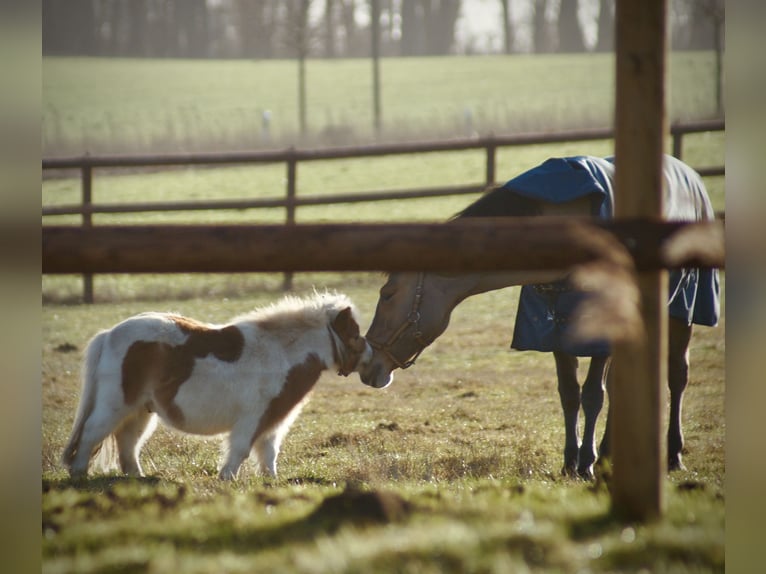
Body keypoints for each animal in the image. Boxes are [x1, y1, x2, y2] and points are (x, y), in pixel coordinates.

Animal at [62, 292, 368, 482]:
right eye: (353, 334)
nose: (370, 358)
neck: (280, 352)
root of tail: (109, 334)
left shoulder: (273, 421)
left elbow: (268, 453)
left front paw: (272, 482)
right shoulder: (253, 418)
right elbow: (241, 449)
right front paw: (227, 479)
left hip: (139, 411)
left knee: (128, 443)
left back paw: (138, 477)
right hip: (116, 405)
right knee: (91, 433)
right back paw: (79, 474)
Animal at [360, 155, 720, 480]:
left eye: (388, 293)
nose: (367, 365)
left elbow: (593, 395)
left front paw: (586, 464)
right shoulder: (554, 330)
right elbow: (569, 394)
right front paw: (570, 462)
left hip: (683, 312)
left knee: (677, 376)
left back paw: (671, 455)